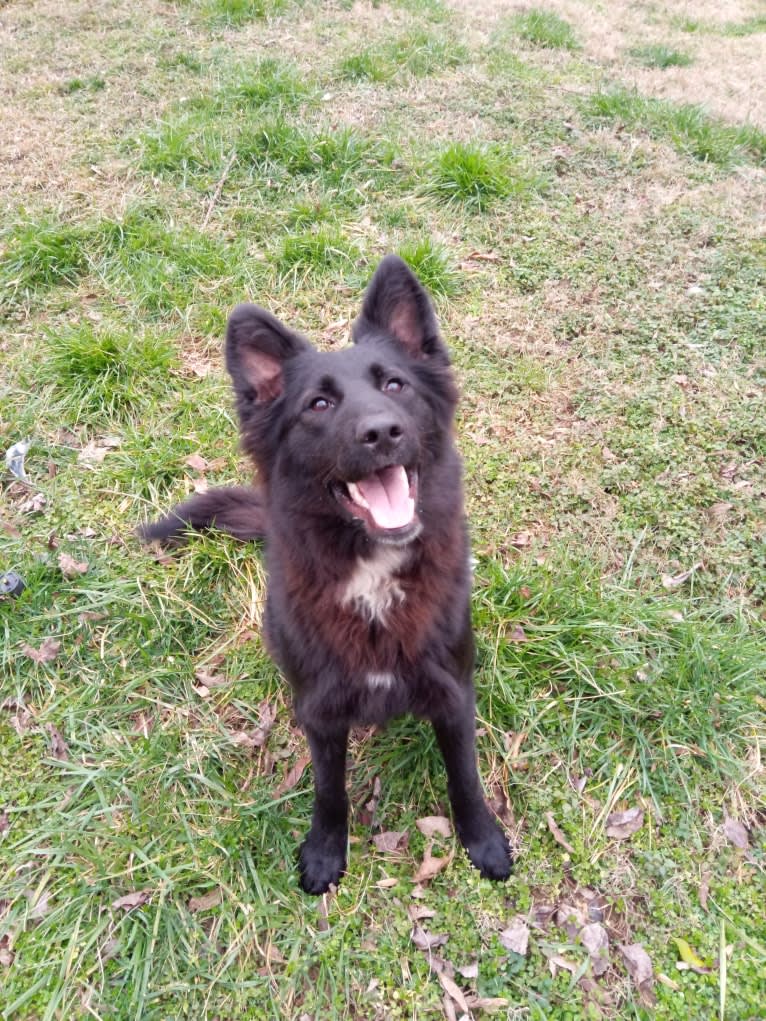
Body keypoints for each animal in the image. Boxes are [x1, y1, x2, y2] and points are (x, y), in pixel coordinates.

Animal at [144, 255, 516, 894]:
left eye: (395, 385)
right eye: (318, 405)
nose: (382, 432)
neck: (373, 577)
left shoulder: (451, 693)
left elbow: (464, 775)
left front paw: (483, 840)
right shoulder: (320, 710)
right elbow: (328, 788)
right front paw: (324, 849)